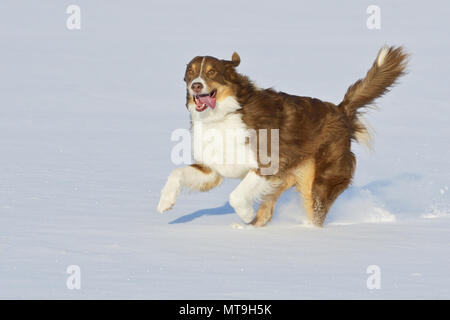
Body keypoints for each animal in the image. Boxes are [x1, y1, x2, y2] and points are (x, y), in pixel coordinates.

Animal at [157, 45, 408, 228]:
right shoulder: (212, 169)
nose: (196, 86)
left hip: (318, 181)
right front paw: (164, 202)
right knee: (268, 211)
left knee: (316, 212)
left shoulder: (268, 163)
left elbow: (236, 196)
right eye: (190, 73)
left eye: (211, 72)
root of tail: (341, 111)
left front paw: (245, 214)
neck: (225, 114)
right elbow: (176, 173)